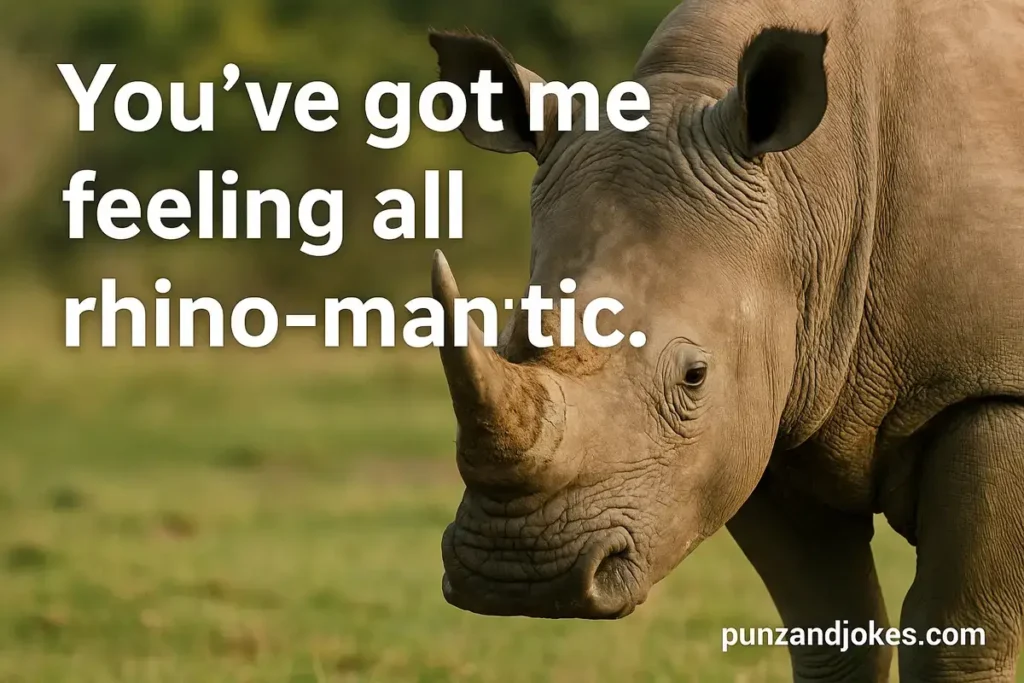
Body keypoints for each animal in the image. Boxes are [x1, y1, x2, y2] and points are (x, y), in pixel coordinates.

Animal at [425, 0, 1024, 680]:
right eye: (507, 338)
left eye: (694, 376)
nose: (518, 571)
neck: (806, 193)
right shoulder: (767, 414)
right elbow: (832, 629)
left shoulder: (992, 388)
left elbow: (959, 633)